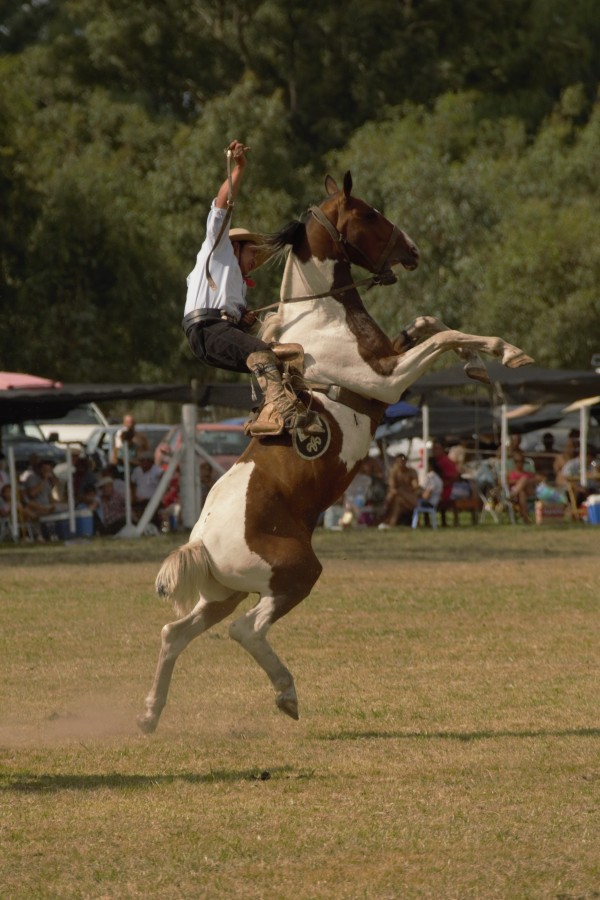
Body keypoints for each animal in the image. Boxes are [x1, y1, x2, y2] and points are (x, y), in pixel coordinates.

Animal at [137, 174, 536, 732]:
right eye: (368, 213)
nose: (412, 250)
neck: (323, 317)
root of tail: (201, 543)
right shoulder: (386, 379)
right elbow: (442, 335)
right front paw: (505, 351)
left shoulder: (391, 358)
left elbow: (428, 323)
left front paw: (476, 363)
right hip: (293, 574)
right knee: (246, 630)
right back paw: (286, 694)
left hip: (223, 593)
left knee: (176, 634)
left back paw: (151, 714)